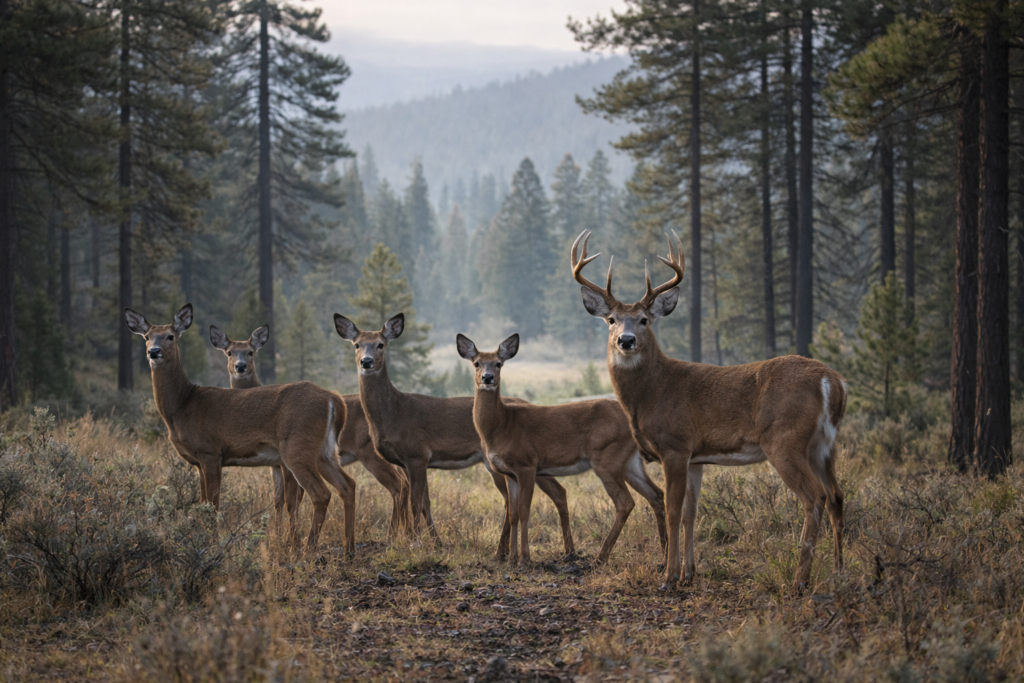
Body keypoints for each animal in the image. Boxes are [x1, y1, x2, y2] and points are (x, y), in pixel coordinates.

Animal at [124, 304, 355, 551]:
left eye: (170, 336)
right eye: (147, 337)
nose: (153, 351)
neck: (182, 406)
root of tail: (334, 399)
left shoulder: (210, 452)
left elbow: (212, 505)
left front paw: (211, 543)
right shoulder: (198, 462)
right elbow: (203, 503)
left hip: (297, 448)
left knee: (321, 494)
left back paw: (307, 549)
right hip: (324, 451)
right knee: (348, 485)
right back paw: (348, 549)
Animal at [210, 324, 411, 538]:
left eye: (250, 351)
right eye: (229, 352)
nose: (240, 366)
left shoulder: (285, 463)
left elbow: (292, 500)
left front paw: (289, 537)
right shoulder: (274, 465)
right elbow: (278, 500)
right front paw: (278, 534)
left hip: (369, 452)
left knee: (398, 485)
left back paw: (393, 535)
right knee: (405, 483)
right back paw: (407, 531)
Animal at [333, 313, 578, 559]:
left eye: (380, 344)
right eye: (356, 344)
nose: (366, 361)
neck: (394, 413)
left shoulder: (416, 455)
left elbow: (415, 501)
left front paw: (415, 543)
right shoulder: (412, 461)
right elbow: (425, 502)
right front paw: (435, 543)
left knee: (540, 495)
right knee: (534, 496)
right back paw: (513, 550)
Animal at [456, 333, 668, 565]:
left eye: (498, 363)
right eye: (476, 363)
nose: (487, 378)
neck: (502, 426)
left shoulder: (526, 464)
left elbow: (524, 511)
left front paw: (524, 558)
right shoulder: (509, 473)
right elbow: (512, 515)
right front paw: (511, 559)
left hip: (606, 457)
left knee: (625, 502)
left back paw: (600, 557)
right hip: (630, 462)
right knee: (657, 494)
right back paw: (664, 553)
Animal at [570, 230, 846, 592]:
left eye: (644, 320)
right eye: (611, 320)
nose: (626, 340)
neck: (652, 393)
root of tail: (833, 381)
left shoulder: (675, 445)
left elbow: (674, 510)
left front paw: (669, 577)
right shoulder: (697, 457)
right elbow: (692, 512)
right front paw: (689, 573)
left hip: (785, 440)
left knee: (814, 498)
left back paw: (800, 581)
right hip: (824, 445)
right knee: (837, 496)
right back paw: (841, 569)